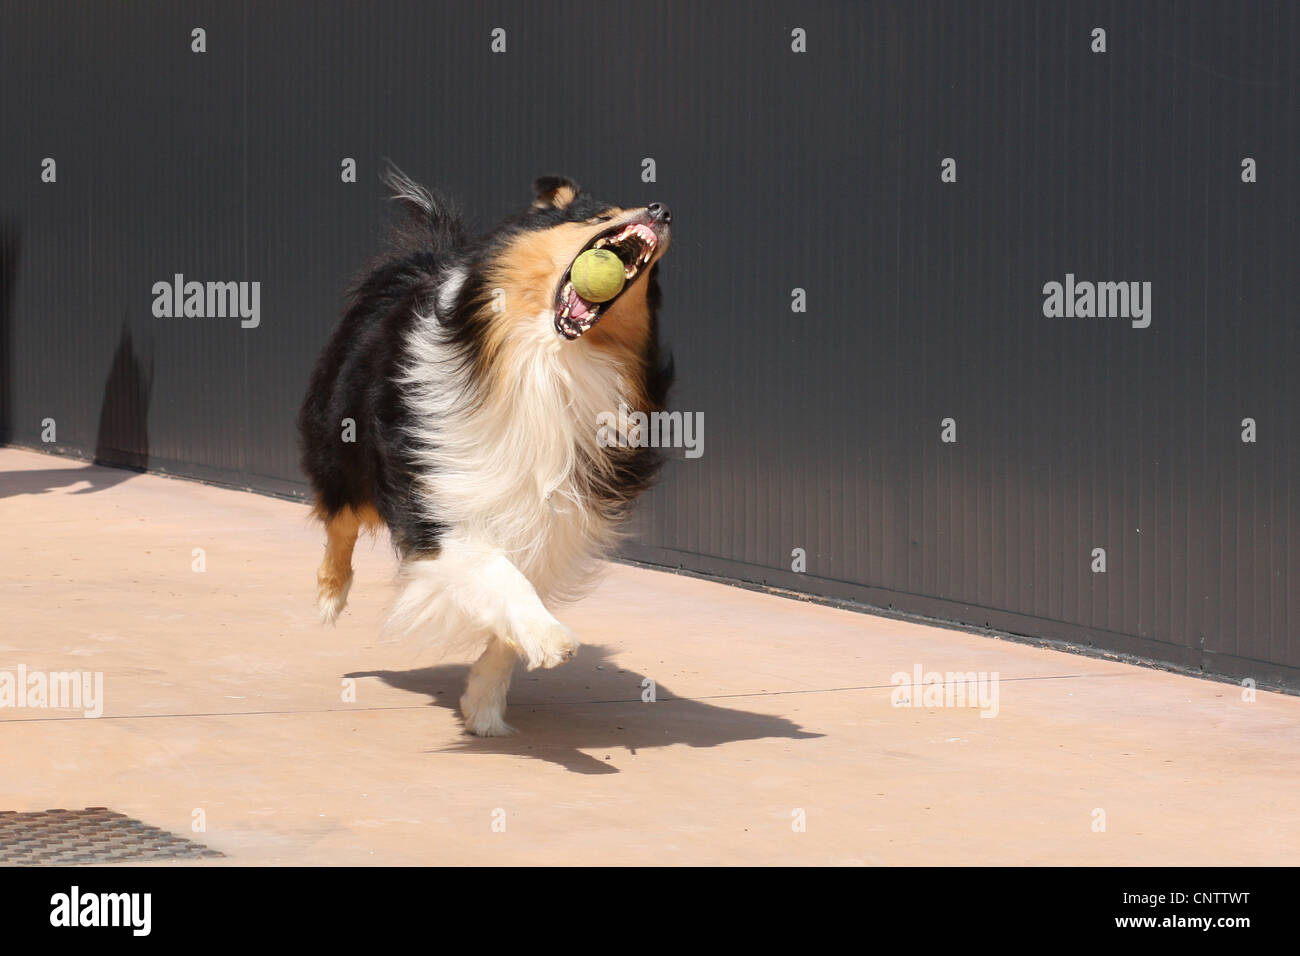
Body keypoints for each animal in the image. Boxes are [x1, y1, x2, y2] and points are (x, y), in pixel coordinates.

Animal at [299, 167, 676, 738]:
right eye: (599, 215)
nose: (661, 209)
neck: (547, 362)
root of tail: (428, 257)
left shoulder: (554, 518)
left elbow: (512, 603)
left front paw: (485, 705)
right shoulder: (438, 498)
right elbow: (496, 569)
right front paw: (551, 637)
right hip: (343, 442)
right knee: (339, 517)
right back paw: (328, 597)